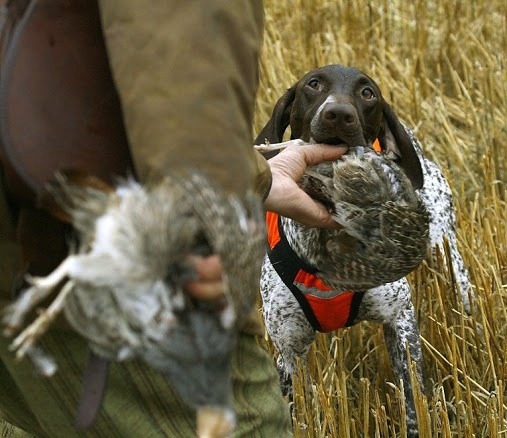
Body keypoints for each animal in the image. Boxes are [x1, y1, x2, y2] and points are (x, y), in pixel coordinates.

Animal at [256, 64, 474, 434]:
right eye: (313, 84)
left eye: (367, 92)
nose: (338, 114)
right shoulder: (290, 350)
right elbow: (300, 411)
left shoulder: (400, 323)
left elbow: (413, 399)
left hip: (446, 251)